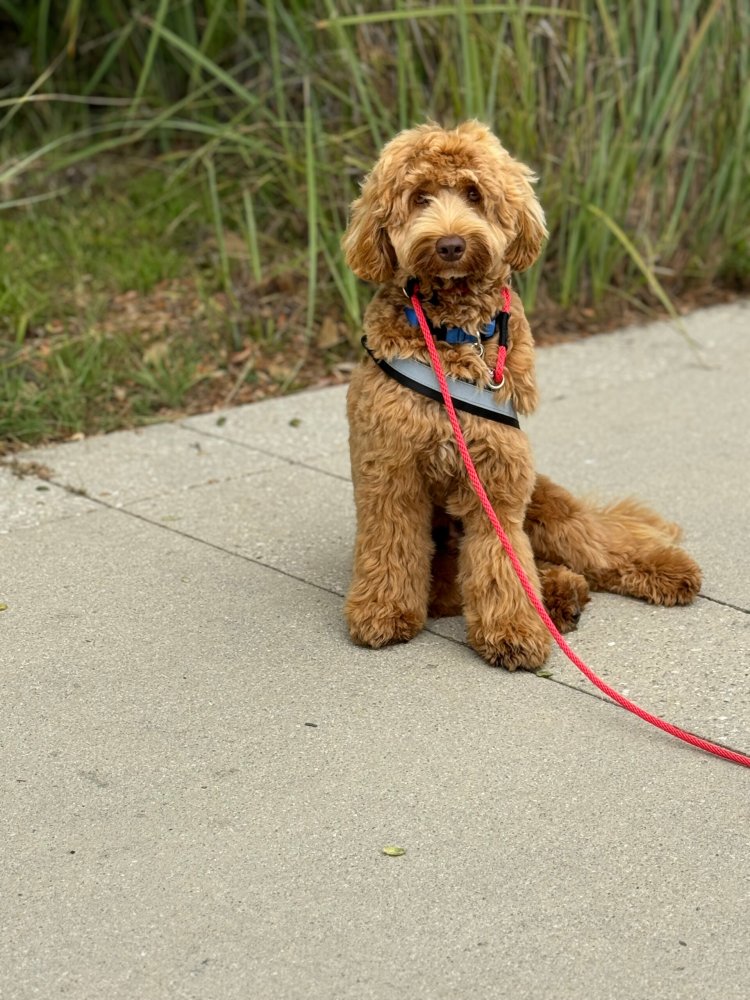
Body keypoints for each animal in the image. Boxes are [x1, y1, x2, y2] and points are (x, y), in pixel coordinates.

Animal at [344, 123, 704, 672]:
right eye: (420, 197)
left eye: (474, 194)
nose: (450, 244)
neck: (455, 330)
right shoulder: (390, 468)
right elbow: (391, 543)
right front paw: (383, 612)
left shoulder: (498, 475)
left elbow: (501, 558)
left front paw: (513, 630)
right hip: (454, 560)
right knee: (503, 577)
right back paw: (561, 595)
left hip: (546, 507)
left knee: (595, 544)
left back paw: (662, 569)